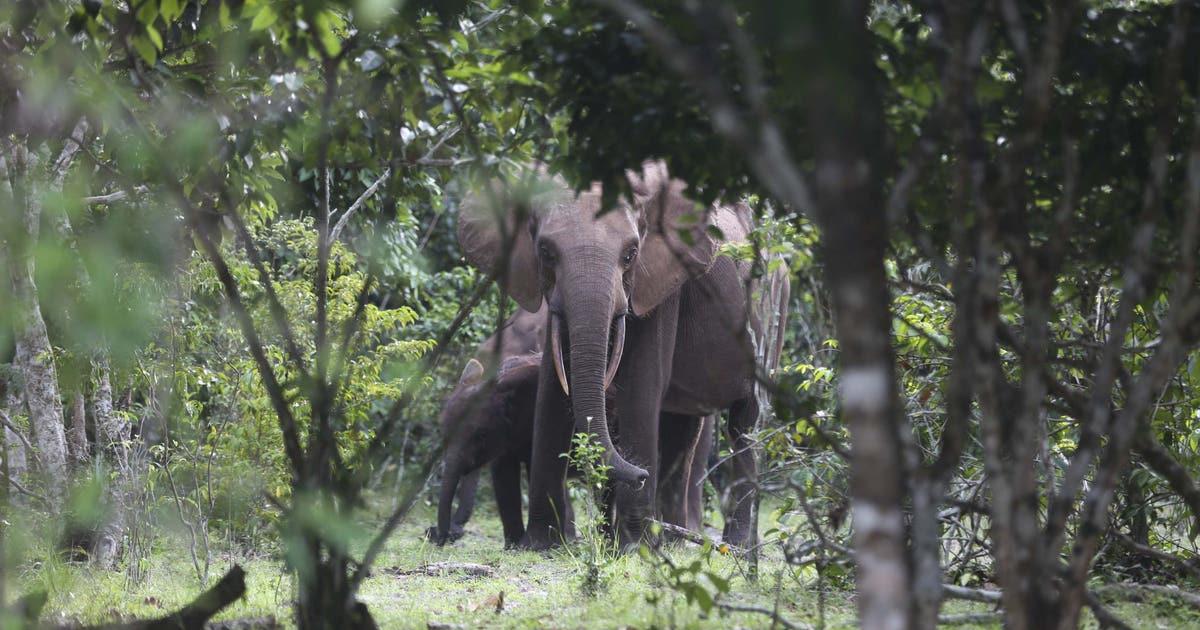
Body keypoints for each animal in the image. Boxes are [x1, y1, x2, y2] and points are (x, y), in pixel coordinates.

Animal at [458, 160, 788, 550]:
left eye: (631, 253)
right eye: (546, 252)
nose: (641, 474)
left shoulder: (662, 283)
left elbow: (641, 385)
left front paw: (632, 547)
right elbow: (553, 389)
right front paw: (539, 545)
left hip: (774, 311)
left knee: (744, 423)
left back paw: (733, 546)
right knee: (682, 427)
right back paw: (675, 541)